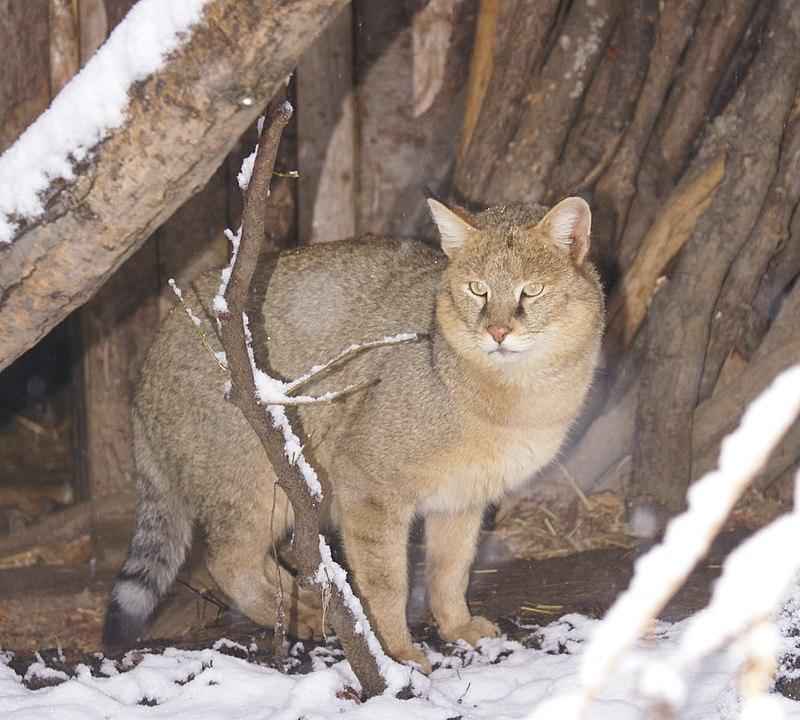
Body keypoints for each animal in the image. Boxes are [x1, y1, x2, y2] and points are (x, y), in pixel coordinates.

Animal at [108, 195, 608, 668]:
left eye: (533, 291)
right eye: (477, 289)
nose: (498, 332)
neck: (517, 402)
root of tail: (146, 368)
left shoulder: (463, 498)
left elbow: (451, 570)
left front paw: (456, 625)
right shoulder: (368, 486)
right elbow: (386, 583)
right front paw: (394, 653)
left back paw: (306, 605)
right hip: (255, 487)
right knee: (227, 562)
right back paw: (302, 612)